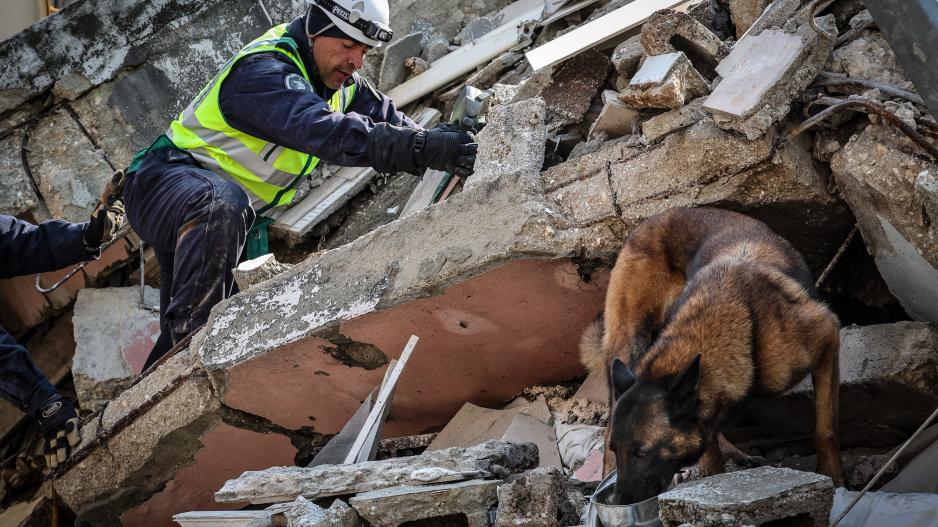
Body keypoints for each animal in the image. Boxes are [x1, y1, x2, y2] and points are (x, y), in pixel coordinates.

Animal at [580, 206, 844, 504]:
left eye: (642, 453)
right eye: (621, 450)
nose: (618, 503)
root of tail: (652, 219)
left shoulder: (828, 338)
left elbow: (825, 430)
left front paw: (836, 480)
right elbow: (709, 457)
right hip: (630, 343)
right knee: (606, 428)